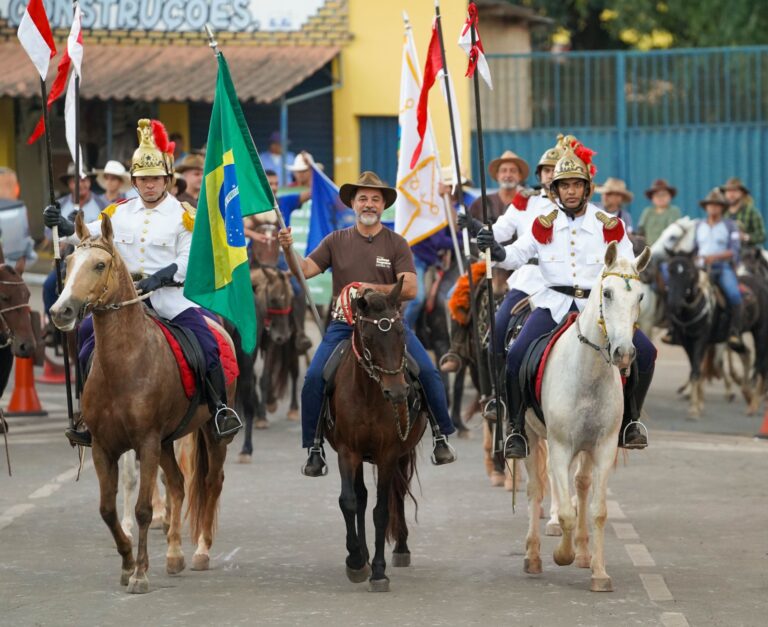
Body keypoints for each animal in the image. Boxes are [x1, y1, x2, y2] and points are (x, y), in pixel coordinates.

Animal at [49, 215, 236, 592]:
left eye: (99, 264)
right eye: (70, 263)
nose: (61, 311)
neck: (125, 362)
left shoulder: (146, 442)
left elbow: (143, 510)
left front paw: (139, 573)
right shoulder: (104, 446)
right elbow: (107, 510)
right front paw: (127, 562)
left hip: (211, 433)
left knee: (211, 482)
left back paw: (201, 550)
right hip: (167, 441)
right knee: (178, 484)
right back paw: (175, 554)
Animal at [324, 280, 426, 592]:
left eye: (400, 332)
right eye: (368, 337)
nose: (397, 392)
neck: (369, 393)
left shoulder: (388, 453)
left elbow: (381, 511)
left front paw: (379, 572)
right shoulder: (348, 452)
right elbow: (349, 501)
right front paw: (357, 560)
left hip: (402, 454)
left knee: (398, 493)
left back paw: (400, 548)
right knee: (361, 496)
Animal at [520, 243, 648, 592]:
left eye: (640, 296)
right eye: (607, 293)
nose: (624, 353)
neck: (588, 374)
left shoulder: (602, 447)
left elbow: (599, 510)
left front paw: (599, 572)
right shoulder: (560, 446)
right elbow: (564, 510)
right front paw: (561, 554)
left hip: (586, 447)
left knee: (580, 484)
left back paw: (583, 551)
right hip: (531, 436)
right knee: (535, 488)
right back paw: (533, 556)